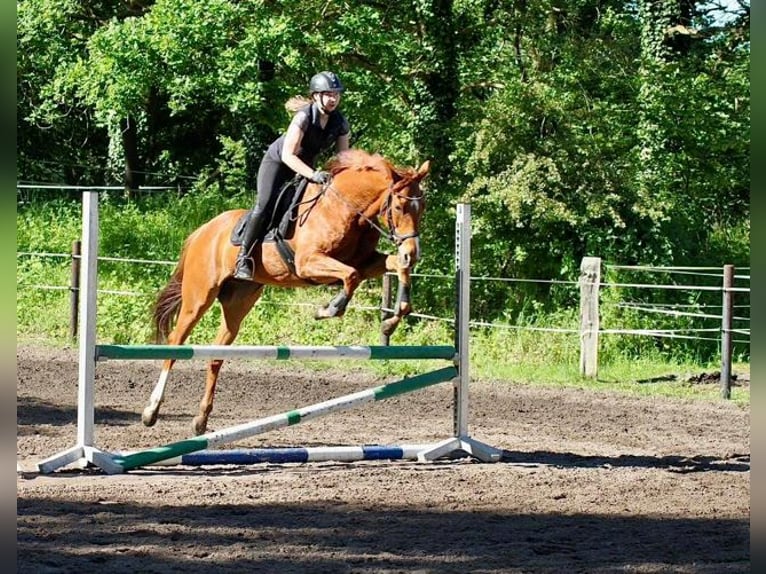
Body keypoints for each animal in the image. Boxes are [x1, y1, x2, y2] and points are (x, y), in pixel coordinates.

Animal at [142, 149, 430, 435]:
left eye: (422, 208)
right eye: (398, 207)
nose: (413, 253)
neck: (346, 210)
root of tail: (203, 231)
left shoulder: (366, 261)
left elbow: (395, 266)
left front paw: (391, 321)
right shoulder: (308, 262)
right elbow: (351, 276)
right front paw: (329, 309)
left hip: (238, 303)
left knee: (216, 355)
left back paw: (201, 419)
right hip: (199, 297)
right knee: (175, 343)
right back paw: (151, 411)